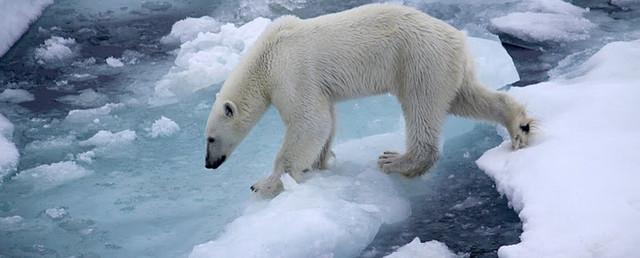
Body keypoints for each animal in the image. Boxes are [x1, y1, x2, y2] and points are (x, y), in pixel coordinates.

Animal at [205, 3, 536, 198]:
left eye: (210, 138)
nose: (208, 164)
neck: (266, 56)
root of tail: (459, 37)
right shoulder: (311, 82)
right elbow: (325, 119)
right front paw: (318, 163)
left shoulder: (292, 72)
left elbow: (310, 121)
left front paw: (265, 184)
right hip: (446, 67)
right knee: (465, 97)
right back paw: (519, 125)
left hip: (418, 61)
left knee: (421, 108)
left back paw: (396, 161)